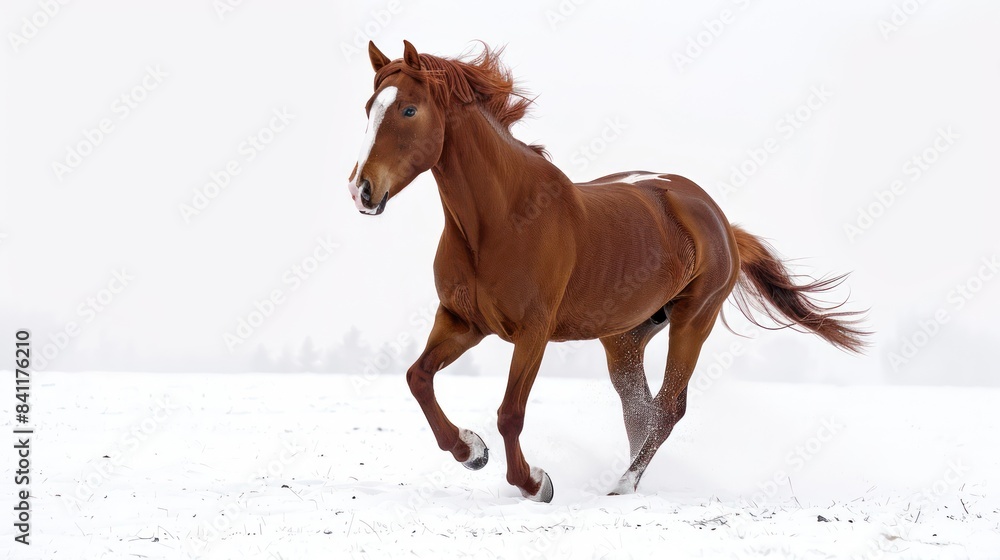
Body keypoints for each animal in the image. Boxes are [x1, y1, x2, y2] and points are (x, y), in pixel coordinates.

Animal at [346, 40, 868, 502]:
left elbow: (510, 412)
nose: (361, 190)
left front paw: (534, 483)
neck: (501, 221)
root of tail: (712, 213)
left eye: (409, 111)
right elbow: (418, 378)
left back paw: (623, 484)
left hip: (692, 320)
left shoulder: (532, 331)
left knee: (667, 409)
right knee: (639, 410)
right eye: (370, 106)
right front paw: (471, 451)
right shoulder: (461, 321)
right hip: (624, 337)